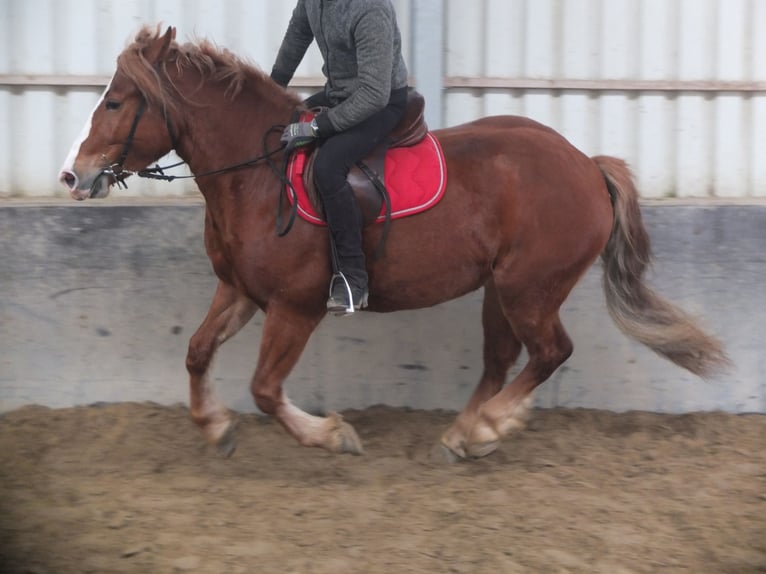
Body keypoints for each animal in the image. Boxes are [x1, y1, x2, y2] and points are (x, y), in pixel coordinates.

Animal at [57, 27, 728, 462]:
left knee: (549, 353)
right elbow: (198, 353)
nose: (72, 175)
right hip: (501, 289)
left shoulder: (295, 308)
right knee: (502, 359)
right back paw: (464, 433)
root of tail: (587, 164)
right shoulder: (239, 291)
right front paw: (216, 428)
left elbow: (266, 390)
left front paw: (331, 435)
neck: (256, 175)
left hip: (530, 287)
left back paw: (488, 428)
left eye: (115, 101)